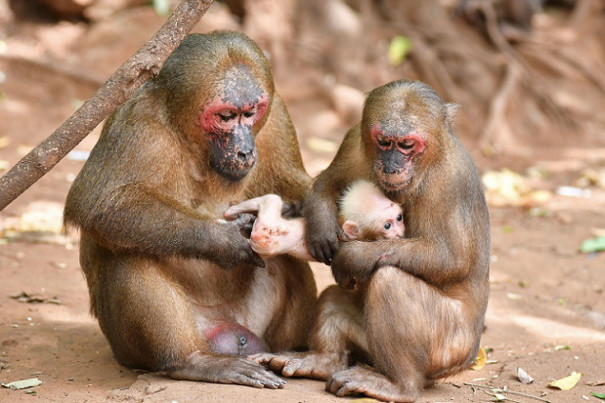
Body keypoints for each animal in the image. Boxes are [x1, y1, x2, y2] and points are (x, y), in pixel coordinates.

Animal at [63, 30, 316, 390]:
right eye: (226, 116)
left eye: (252, 112)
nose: (244, 150)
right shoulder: (139, 124)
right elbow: (100, 203)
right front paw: (224, 241)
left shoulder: (277, 112)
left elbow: (290, 184)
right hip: (132, 348)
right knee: (127, 252)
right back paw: (191, 361)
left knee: (284, 257)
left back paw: (289, 352)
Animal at [255, 80, 490, 402]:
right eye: (384, 142)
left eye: (407, 145)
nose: (391, 165)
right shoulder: (355, 139)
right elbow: (329, 183)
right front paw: (321, 228)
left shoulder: (451, 180)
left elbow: (450, 258)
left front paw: (353, 256)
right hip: (368, 345)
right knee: (335, 298)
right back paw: (322, 361)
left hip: (449, 347)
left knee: (390, 280)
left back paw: (400, 385)